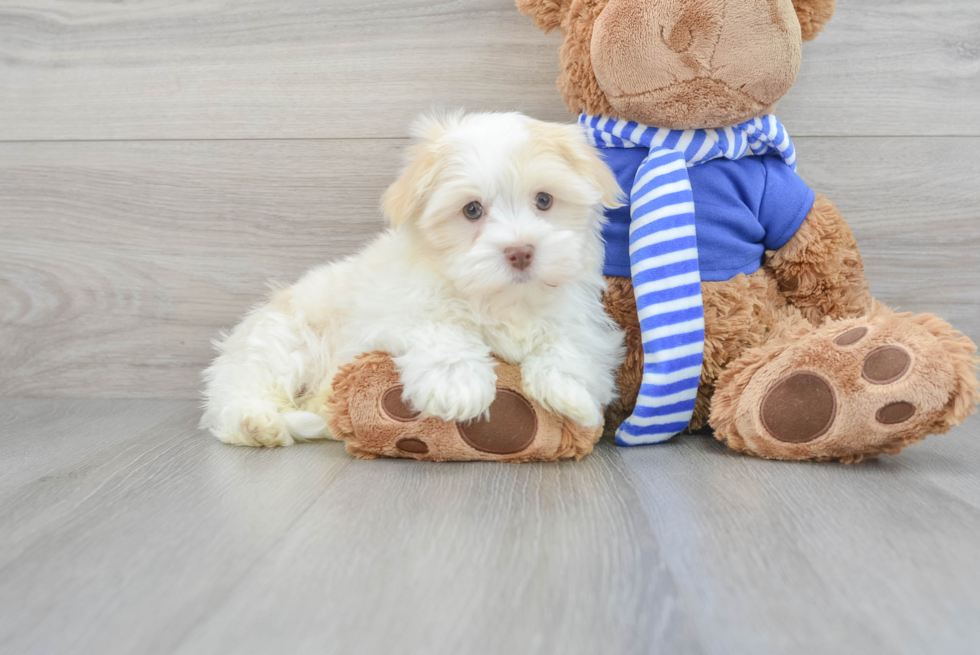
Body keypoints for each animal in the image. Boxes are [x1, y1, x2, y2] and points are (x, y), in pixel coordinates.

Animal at [202, 114, 624, 452]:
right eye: (472, 210)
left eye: (544, 200)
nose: (520, 251)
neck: (500, 299)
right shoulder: (390, 311)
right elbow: (438, 326)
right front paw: (458, 384)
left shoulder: (578, 314)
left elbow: (571, 341)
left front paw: (570, 390)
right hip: (283, 342)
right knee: (242, 392)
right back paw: (258, 423)